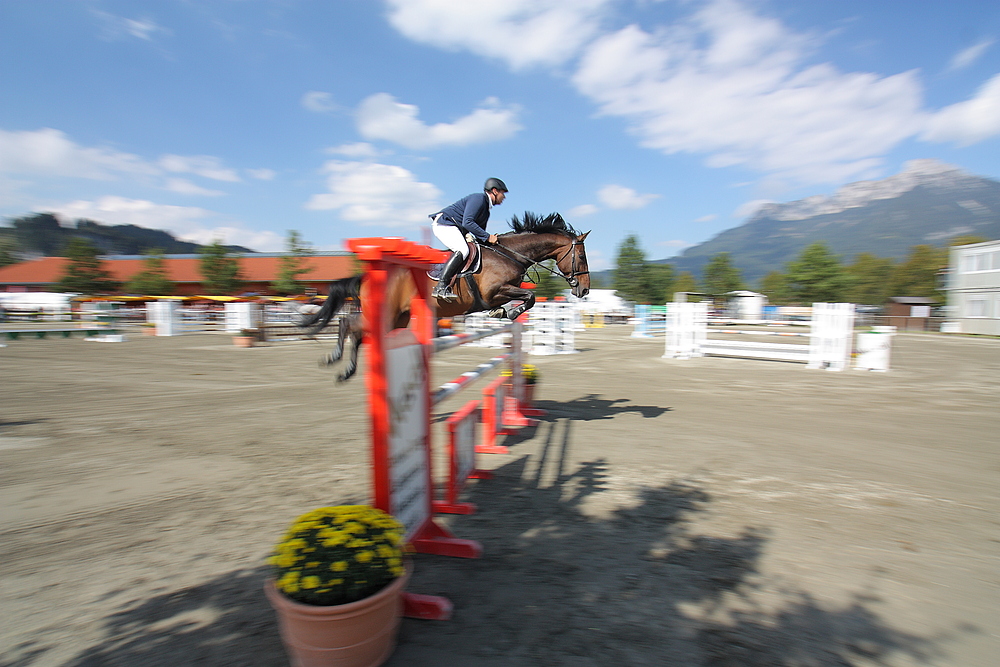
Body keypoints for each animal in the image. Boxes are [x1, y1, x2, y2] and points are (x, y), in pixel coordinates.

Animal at [296, 211, 592, 384]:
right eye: (581, 255)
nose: (584, 290)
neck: (510, 253)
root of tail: (369, 277)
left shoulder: (501, 292)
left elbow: (526, 297)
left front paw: (502, 313)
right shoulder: (493, 291)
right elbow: (529, 296)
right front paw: (508, 313)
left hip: (398, 319)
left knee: (358, 333)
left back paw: (345, 370)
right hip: (386, 314)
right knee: (349, 324)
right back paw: (334, 360)